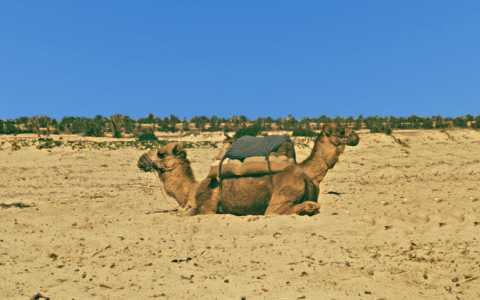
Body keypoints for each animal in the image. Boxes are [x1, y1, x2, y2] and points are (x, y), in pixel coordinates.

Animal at [137, 123, 358, 217]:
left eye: (161, 153)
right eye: (341, 131)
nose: (141, 160)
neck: (191, 191)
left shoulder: (206, 207)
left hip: (280, 196)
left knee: (274, 212)